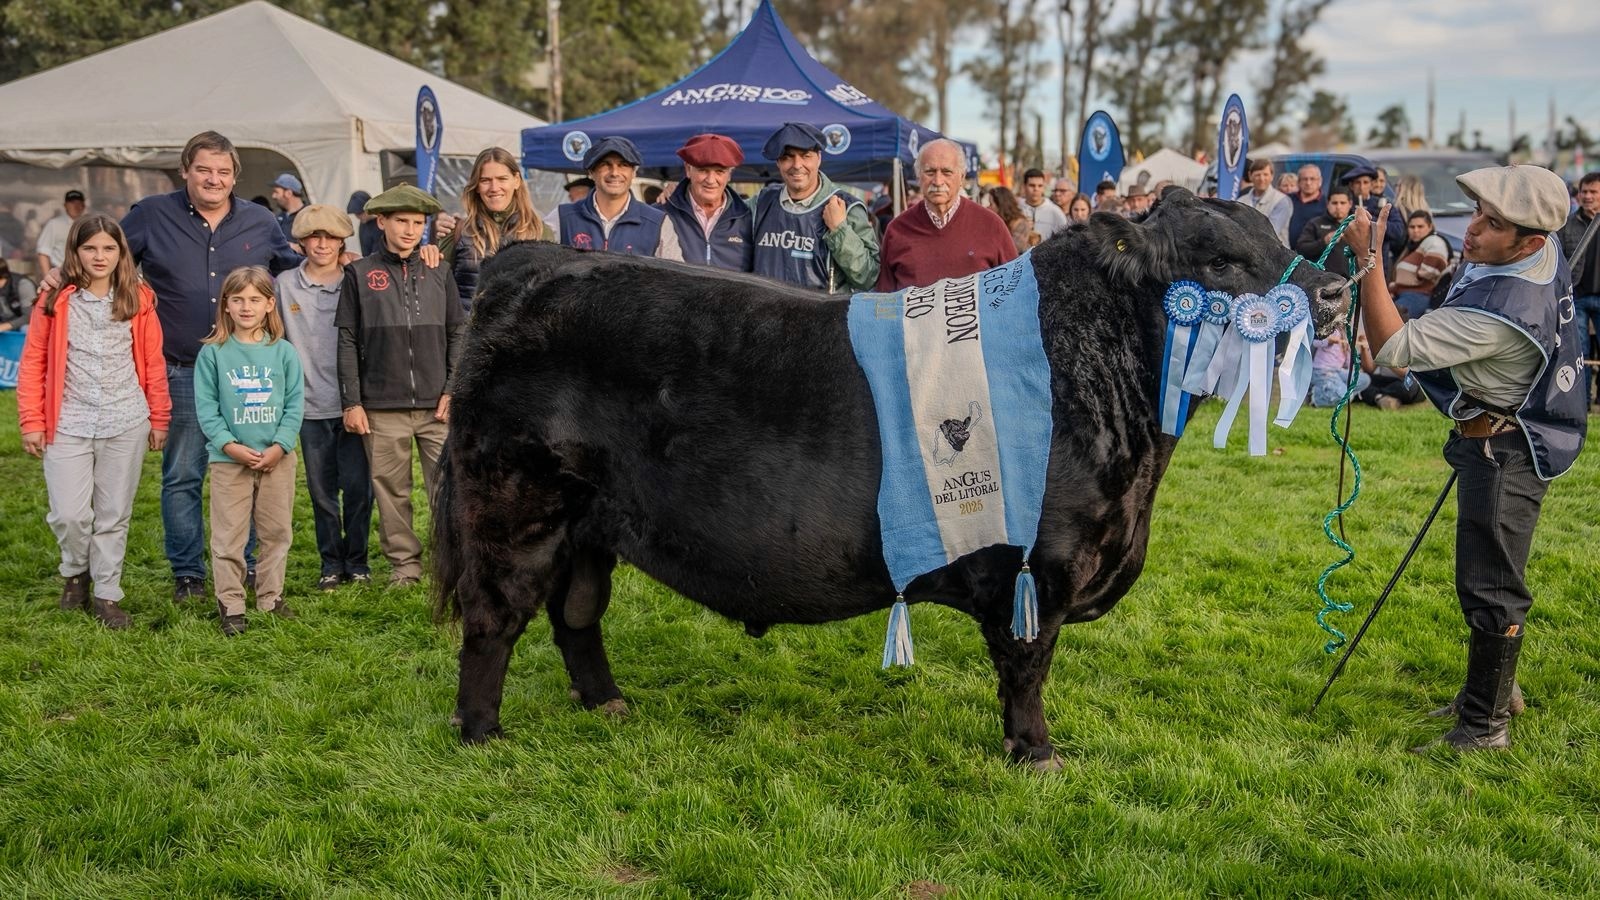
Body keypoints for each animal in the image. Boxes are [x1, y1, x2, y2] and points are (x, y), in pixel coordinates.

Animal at [432, 188, 1349, 769]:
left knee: (577, 613)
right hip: (514, 503)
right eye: (1221, 261)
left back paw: (608, 703)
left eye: (1279, 243)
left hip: (594, 523)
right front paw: (1036, 754)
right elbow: (1029, 664)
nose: (1336, 291)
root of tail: (532, 260)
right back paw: (480, 734)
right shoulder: (1039, 568)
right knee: (494, 617)